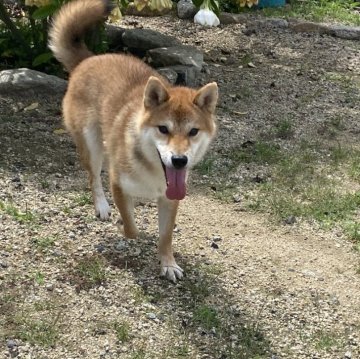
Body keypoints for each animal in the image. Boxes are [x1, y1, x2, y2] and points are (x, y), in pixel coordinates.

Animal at [48, 0, 218, 282]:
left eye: (193, 131)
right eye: (163, 129)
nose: (179, 160)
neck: (153, 172)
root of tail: (90, 59)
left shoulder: (171, 198)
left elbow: (166, 236)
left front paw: (168, 263)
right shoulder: (117, 181)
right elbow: (131, 228)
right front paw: (125, 223)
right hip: (91, 144)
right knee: (93, 178)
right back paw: (103, 207)